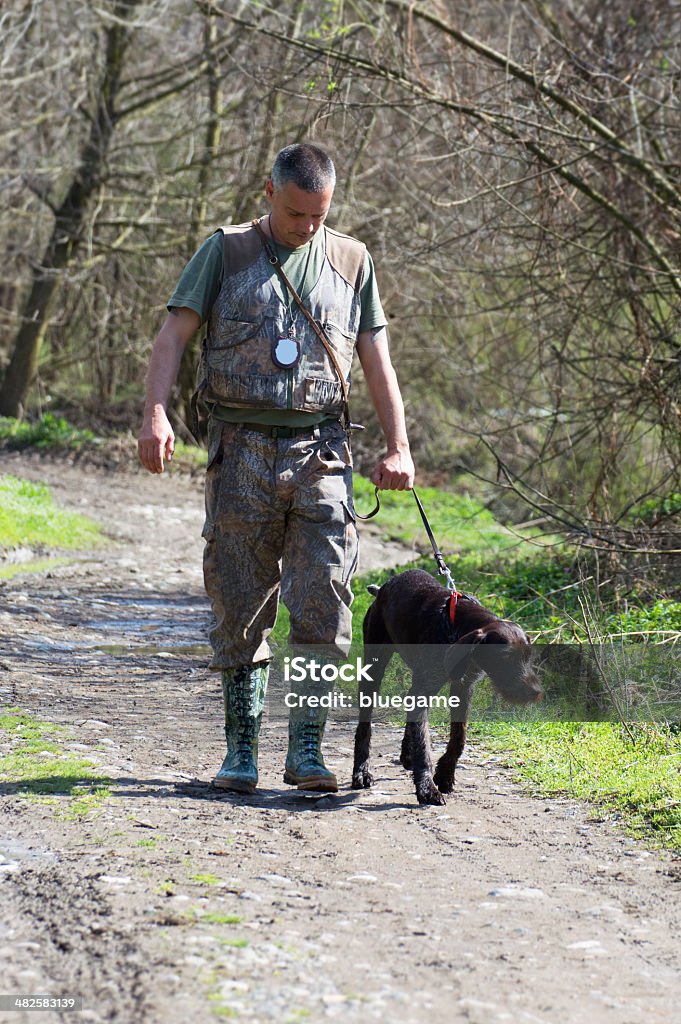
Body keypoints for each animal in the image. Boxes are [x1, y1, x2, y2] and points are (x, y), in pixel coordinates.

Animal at [350, 569, 540, 798]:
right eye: (505, 657)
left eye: (529, 656)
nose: (535, 692)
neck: (455, 628)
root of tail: (381, 590)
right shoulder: (426, 687)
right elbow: (424, 743)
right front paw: (426, 787)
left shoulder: (463, 688)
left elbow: (459, 737)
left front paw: (445, 774)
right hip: (374, 667)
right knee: (365, 726)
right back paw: (361, 771)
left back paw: (406, 754)